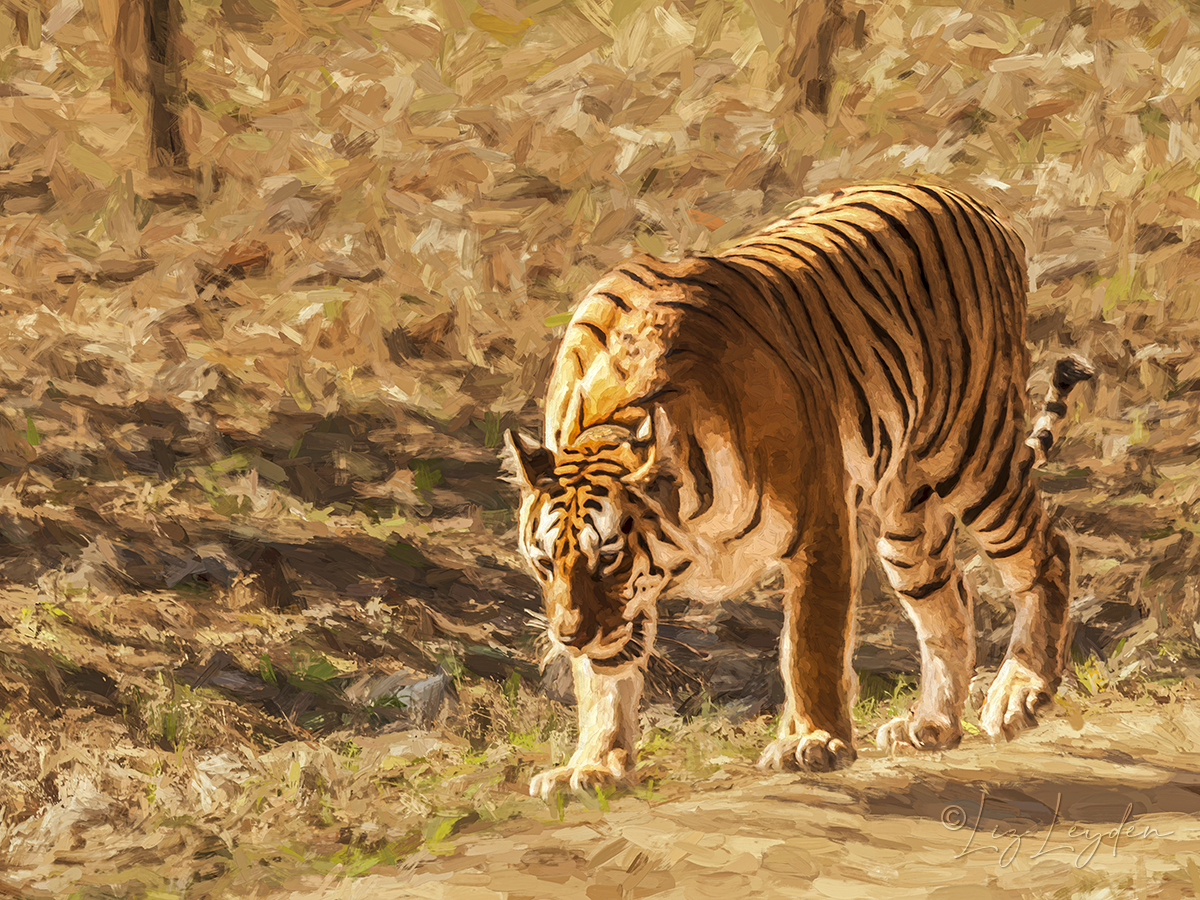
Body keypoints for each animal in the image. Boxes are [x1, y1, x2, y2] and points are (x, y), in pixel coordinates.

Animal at [506, 181, 1099, 796]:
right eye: (544, 563)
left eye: (610, 557)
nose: (569, 637)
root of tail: (966, 199)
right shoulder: (620, 608)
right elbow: (604, 683)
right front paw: (593, 766)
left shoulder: (821, 528)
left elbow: (810, 646)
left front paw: (814, 742)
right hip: (906, 514)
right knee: (946, 599)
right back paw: (929, 725)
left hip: (972, 455)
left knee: (1047, 551)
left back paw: (1020, 694)